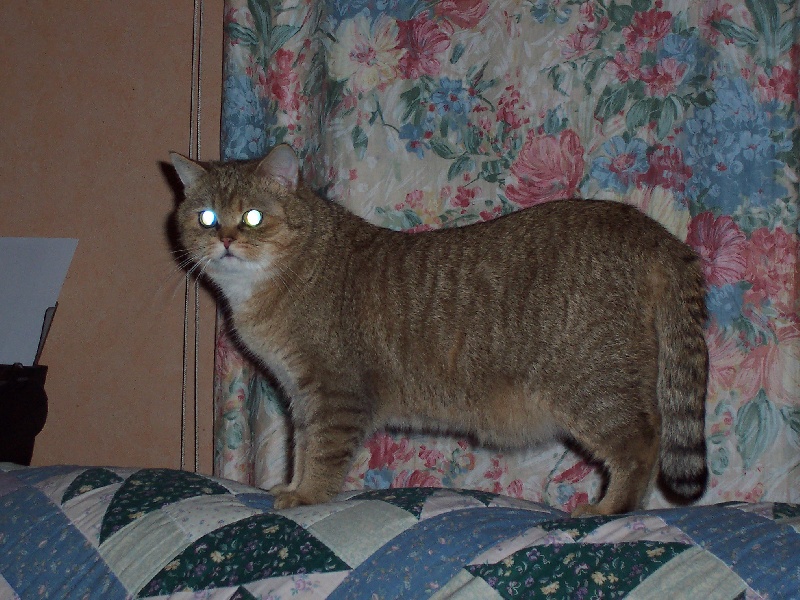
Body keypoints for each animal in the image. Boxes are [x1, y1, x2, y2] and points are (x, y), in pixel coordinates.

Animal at [169, 144, 708, 516]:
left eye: (253, 216)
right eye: (206, 217)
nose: (226, 239)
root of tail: (647, 228)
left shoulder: (333, 390)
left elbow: (322, 453)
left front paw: (309, 497)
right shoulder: (301, 394)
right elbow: (301, 448)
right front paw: (294, 486)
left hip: (594, 382)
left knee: (642, 442)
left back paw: (610, 508)